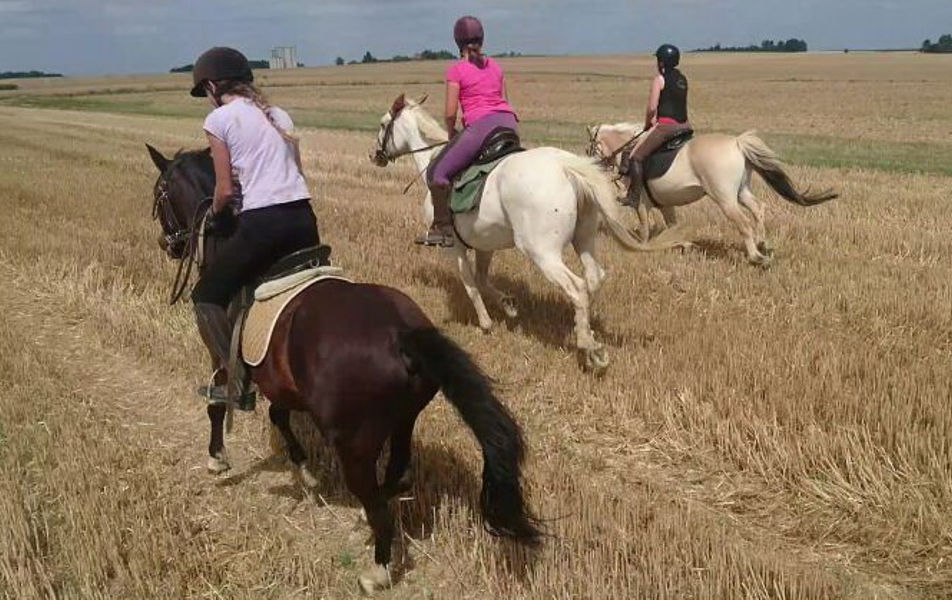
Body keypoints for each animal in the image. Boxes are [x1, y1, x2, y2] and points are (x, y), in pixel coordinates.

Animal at [143, 143, 544, 592]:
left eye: (160, 193)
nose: (168, 244)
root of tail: (401, 333)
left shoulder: (224, 361)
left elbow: (218, 404)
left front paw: (217, 458)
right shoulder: (283, 383)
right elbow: (278, 416)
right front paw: (305, 473)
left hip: (354, 441)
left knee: (375, 498)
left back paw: (378, 567)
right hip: (403, 417)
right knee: (398, 472)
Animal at [374, 95, 684, 370]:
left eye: (382, 124)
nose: (374, 155)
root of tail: (564, 166)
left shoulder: (454, 247)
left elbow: (470, 283)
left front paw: (486, 323)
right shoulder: (485, 244)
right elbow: (482, 279)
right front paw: (509, 306)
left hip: (542, 252)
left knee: (577, 286)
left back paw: (589, 347)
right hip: (583, 239)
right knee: (594, 278)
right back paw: (584, 328)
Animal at [584, 123, 836, 264]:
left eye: (590, 147)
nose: (592, 165)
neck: (627, 151)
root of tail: (737, 143)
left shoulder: (641, 202)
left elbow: (645, 227)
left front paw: (642, 248)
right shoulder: (666, 204)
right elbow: (672, 224)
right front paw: (684, 245)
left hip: (724, 198)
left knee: (744, 222)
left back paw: (756, 257)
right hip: (741, 191)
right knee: (758, 210)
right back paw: (763, 243)